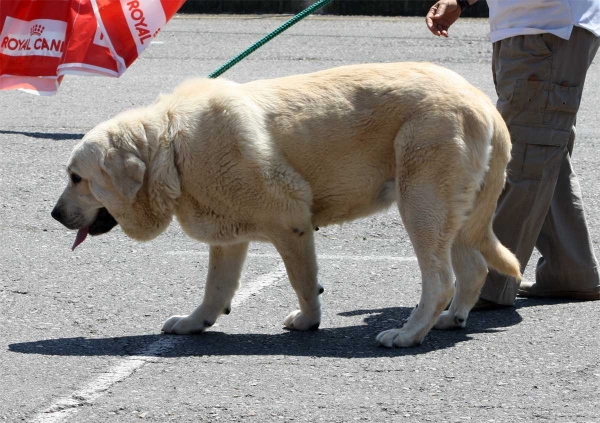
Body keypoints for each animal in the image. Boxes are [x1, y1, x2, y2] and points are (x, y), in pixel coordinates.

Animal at [51, 62, 520, 348]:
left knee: (439, 280)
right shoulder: (227, 239)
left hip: (421, 203)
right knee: (473, 269)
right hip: (453, 215)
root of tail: (480, 100)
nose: (53, 215)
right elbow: (215, 288)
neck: (170, 145)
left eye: (76, 178)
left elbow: (302, 281)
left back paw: (408, 334)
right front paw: (195, 322)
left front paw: (309, 321)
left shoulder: (290, 222)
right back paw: (451, 319)